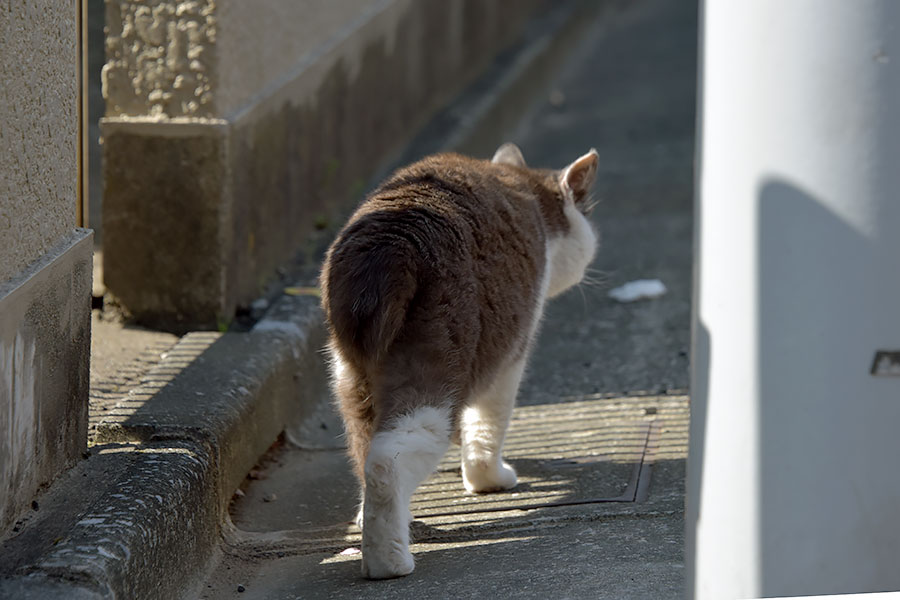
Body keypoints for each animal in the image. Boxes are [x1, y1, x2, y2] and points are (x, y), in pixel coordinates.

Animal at [316, 143, 596, 580]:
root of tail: (390, 243)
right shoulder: (511, 354)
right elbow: (487, 427)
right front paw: (489, 480)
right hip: (436, 365)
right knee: (386, 461)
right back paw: (388, 563)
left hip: (351, 378)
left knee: (363, 451)